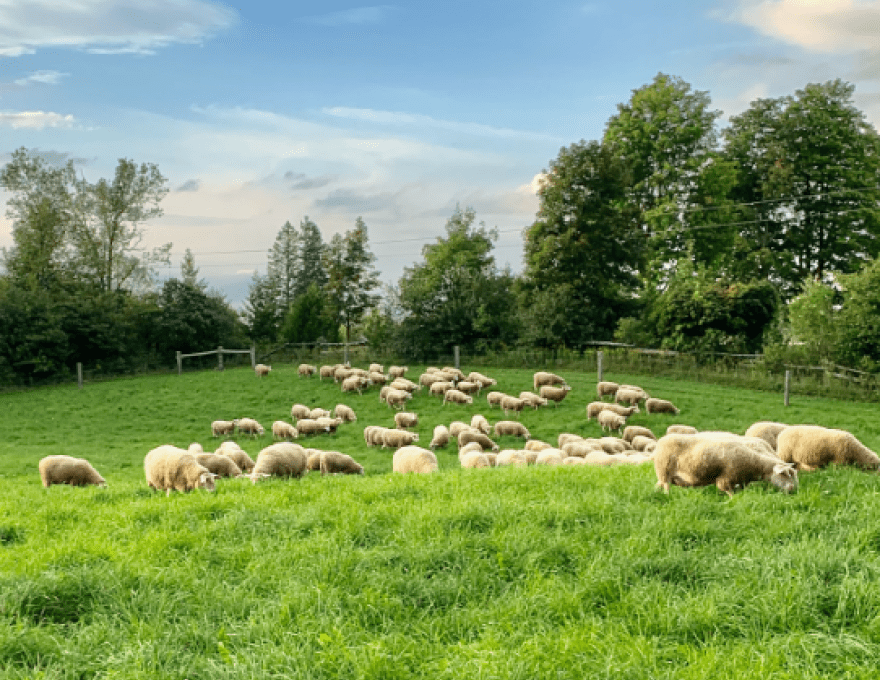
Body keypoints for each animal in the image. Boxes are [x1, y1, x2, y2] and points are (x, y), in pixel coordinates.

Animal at [654, 436, 798, 496]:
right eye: (785, 475)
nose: (793, 490)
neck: (755, 463)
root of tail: (661, 441)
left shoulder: (740, 481)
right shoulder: (726, 478)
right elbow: (728, 492)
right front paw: (731, 501)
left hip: (662, 474)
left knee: (658, 484)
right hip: (664, 470)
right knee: (666, 486)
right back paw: (667, 496)